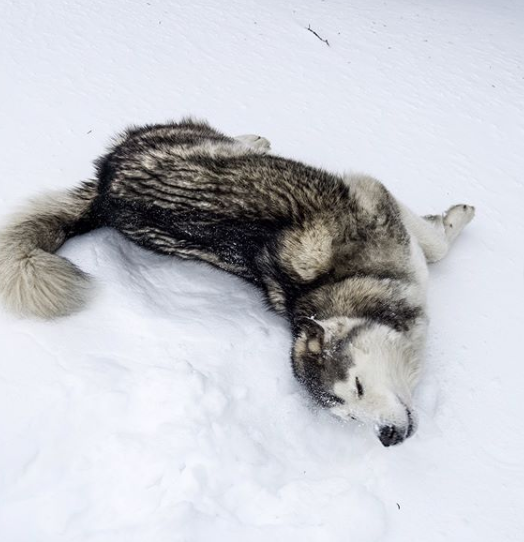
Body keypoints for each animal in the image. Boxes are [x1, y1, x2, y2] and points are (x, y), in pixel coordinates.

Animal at [0, 119, 474, 446]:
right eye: (349, 415)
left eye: (358, 386)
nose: (386, 436)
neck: (350, 282)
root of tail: (103, 189)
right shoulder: (377, 200)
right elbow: (436, 247)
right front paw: (455, 219)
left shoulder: (374, 195)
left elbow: (432, 245)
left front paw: (453, 218)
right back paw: (252, 141)